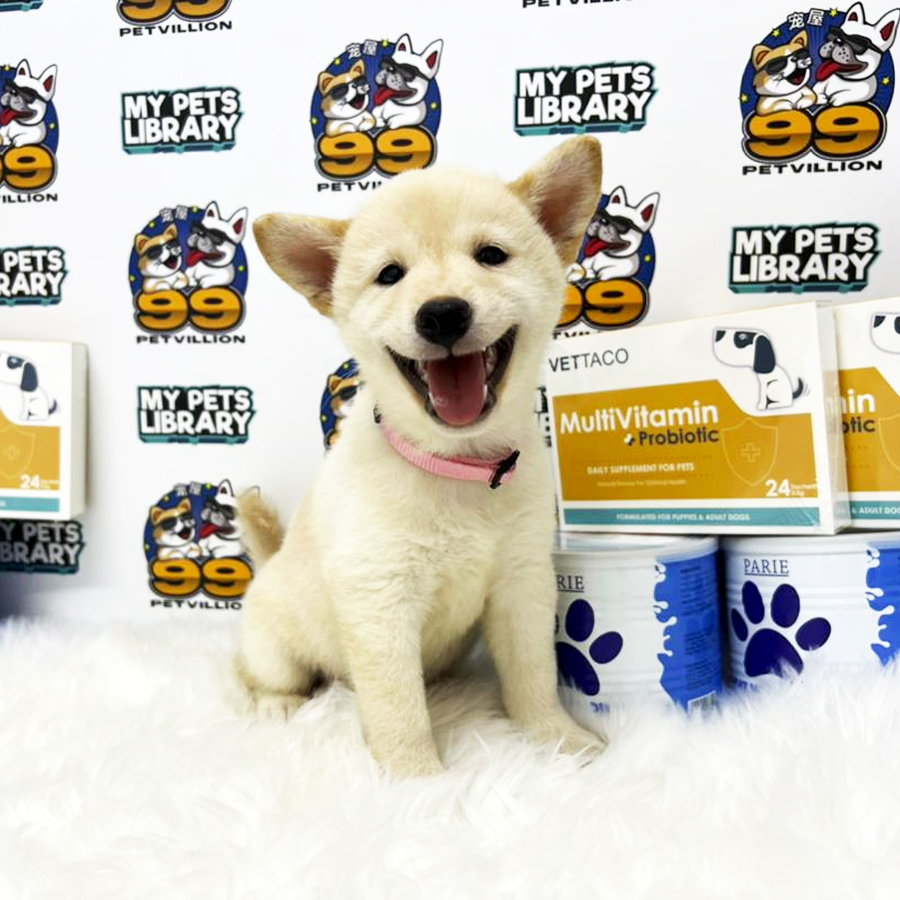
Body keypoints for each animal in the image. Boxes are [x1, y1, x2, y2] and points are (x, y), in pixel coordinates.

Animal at [239, 136, 605, 777]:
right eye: (390, 275)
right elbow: (397, 709)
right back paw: (279, 705)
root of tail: (268, 564)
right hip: (276, 643)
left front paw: (558, 740)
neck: (457, 468)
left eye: (490, 255)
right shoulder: (378, 599)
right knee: (257, 676)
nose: (442, 313)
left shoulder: (522, 582)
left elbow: (534, 678)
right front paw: (416, 781)